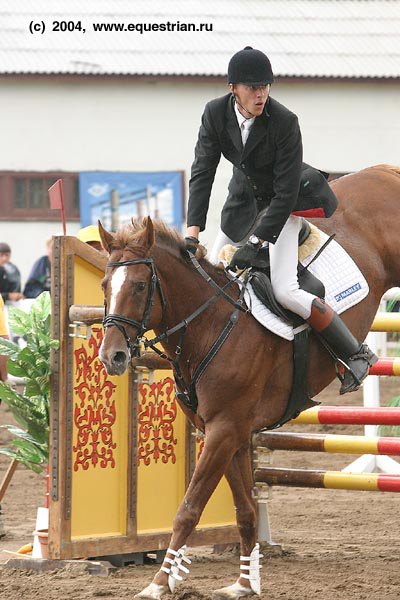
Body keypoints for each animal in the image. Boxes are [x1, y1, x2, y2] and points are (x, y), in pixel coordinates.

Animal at [98, 165, 400, 600]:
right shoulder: (229, 433)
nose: (113, 357)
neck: (209, 325)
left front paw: (158, 583)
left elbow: (188, 509)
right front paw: (243, 583)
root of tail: (383, 172)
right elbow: (245, 511)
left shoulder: (224, 430)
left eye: (140, 286)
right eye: (105, 286)